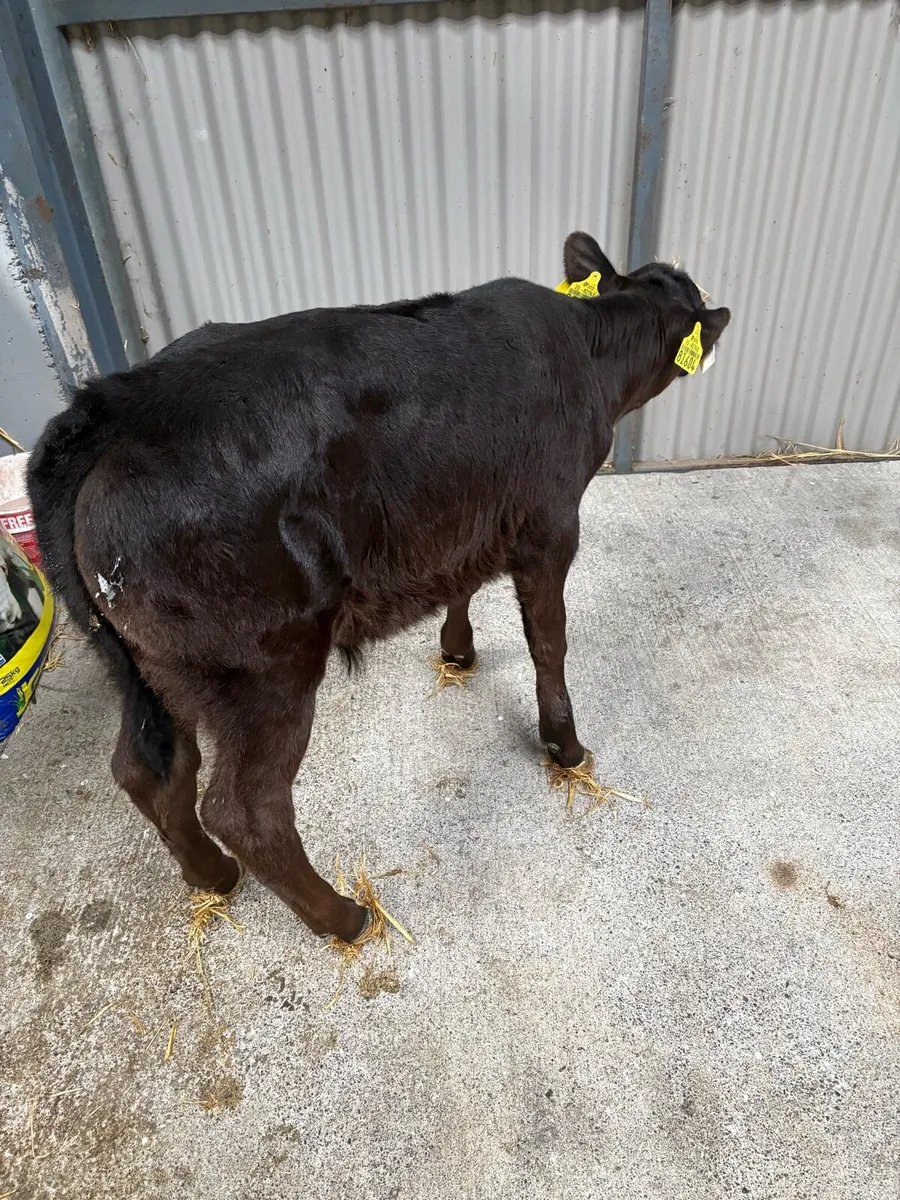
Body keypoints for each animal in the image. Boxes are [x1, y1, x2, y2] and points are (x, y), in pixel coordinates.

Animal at [28, 232, 730, 941]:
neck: (588, 351)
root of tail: (107, 409)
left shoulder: (459, 511)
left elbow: (461, 582)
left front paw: (457, 649)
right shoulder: (552, 523)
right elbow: (550, 645)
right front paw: (566, 745)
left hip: (145, 666)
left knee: (149, 770)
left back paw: (213, 876)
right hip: (264, 667)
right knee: (244, 808)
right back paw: (343, 916)